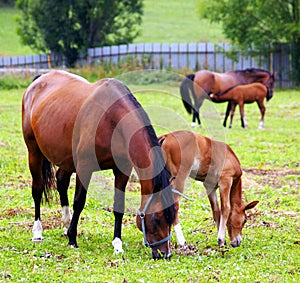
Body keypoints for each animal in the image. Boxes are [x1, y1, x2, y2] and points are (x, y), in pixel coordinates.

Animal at [22, 70, 176, 260]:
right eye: (158, 217)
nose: (165, 254)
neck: (111, 121)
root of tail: (38, 81)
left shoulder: (122, 170)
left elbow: (118, 206)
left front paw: (117, 245)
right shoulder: (84, 168)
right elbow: (79, 202)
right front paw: (72, 240)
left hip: (66, 159)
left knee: (61, 181)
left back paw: (66, 225)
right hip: (34, 152)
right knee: (37, 189)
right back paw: (38, 232)